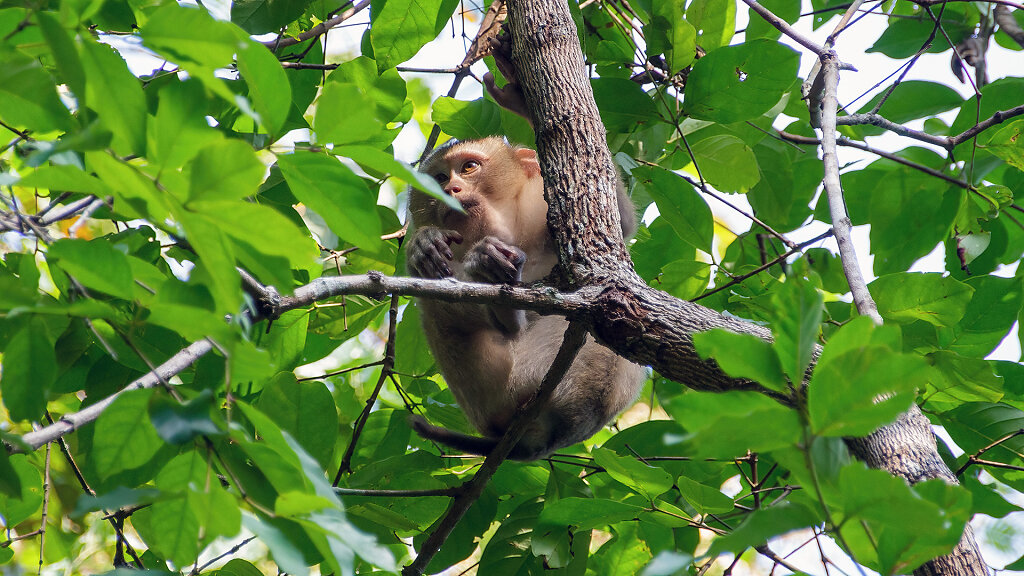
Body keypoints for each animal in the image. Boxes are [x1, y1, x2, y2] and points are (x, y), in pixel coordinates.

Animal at [403, 133, 643, 457]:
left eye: (468, 167)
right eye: (439, 178)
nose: (450, 189)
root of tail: (542, 441)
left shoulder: (538, 208)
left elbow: (616, 223)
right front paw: (424, 242)